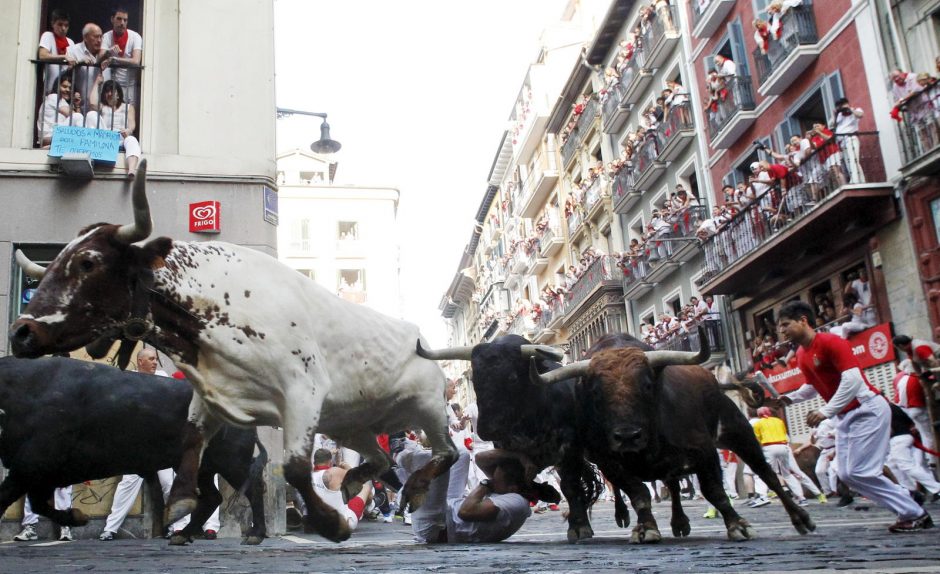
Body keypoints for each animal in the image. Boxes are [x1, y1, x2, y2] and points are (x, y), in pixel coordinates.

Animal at [0, 358, 268, 548]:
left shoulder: (29, 467)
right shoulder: (34, 473)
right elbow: (36, 504)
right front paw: (78, 517)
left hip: (231, 463)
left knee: (252, 488)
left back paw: (254, 535)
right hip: (203, 467)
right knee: (212, 497)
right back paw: (182, 535)